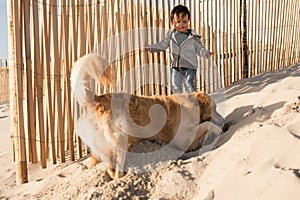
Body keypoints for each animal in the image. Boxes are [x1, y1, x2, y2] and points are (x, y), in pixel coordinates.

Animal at [71, 53, 224, 180]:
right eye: (215, 109)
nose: (223, 120)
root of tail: (93, 99)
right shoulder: (182, 138)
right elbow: (208, 124)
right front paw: (217, 130)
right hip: (119, 140)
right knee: (115, 172)